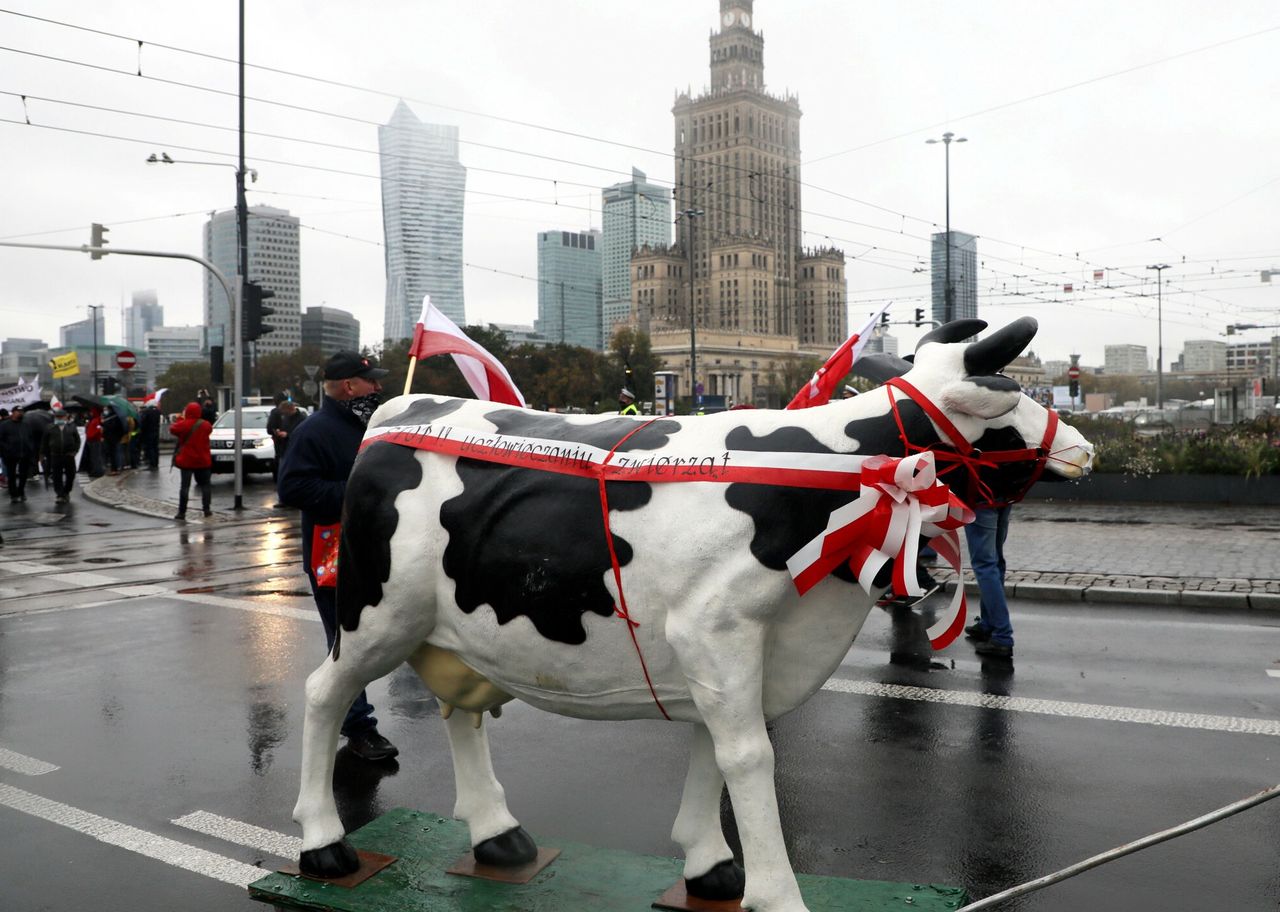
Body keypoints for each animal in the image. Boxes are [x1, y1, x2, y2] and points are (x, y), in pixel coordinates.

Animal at [294, 317, 1095, 906]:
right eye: (1004, 401)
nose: (1086, 448)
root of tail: (400, 408)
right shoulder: (716, 629)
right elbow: (748, 754)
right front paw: (778, 896)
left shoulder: (751, 646)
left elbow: (715, 746)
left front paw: (712, 868)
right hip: (376, 614)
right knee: (324, 692)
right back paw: (325, 845)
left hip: (455, 626)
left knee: (460, 708)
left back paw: (497, 834)